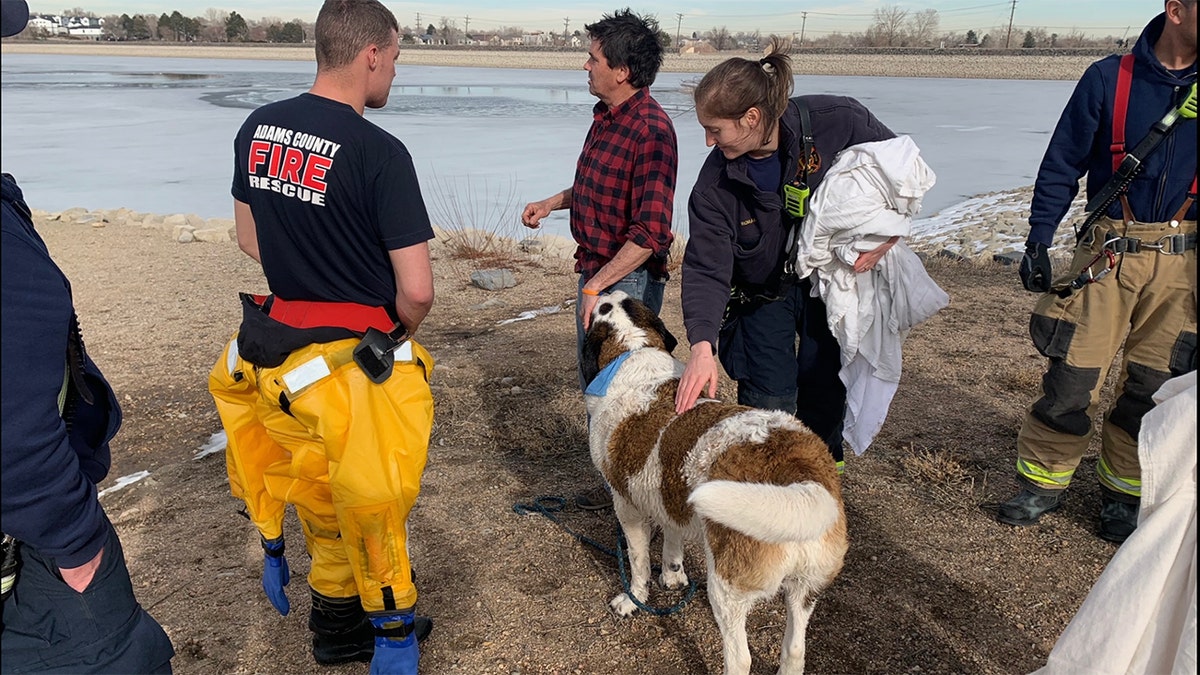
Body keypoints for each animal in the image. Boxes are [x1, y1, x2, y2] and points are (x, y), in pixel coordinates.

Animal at [578, 289, 844, 672]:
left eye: (602, 308)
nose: (601, 289)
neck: (632, 347)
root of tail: (799, 472)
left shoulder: (626, 505)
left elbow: (638, 562)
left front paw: (633, 600)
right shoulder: (668, 492)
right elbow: (672, 538)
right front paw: (673, 576)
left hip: (726, 589)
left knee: (741, 658)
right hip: (805, 588)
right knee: (794, 650)